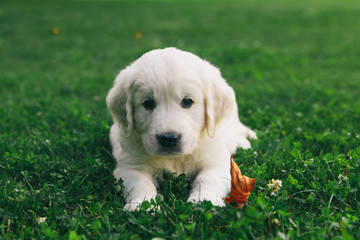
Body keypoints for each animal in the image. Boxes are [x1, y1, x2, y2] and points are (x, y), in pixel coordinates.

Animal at [105, 47, 258, 211]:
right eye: (148, 103)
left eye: (187, 101)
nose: (168, 138)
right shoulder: (130, 166)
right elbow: (141, 183)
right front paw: (143, 205)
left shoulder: (216, 161)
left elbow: (207, 178)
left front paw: (203, 200)